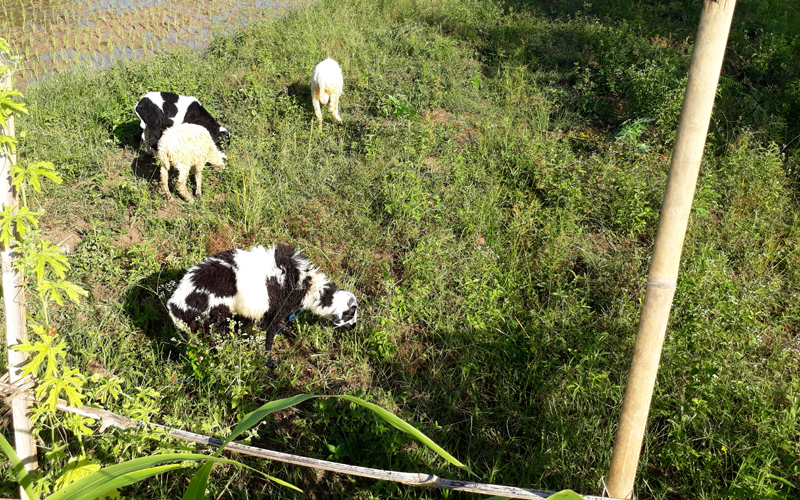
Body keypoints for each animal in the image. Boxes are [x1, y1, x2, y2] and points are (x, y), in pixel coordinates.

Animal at [167, 244, 358, 362]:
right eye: (351, 313)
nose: (354, 327)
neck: (307, 285)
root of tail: (176, 307)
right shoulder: (276, 310)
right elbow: (269, 335)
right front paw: (268, 360)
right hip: (216, 321)